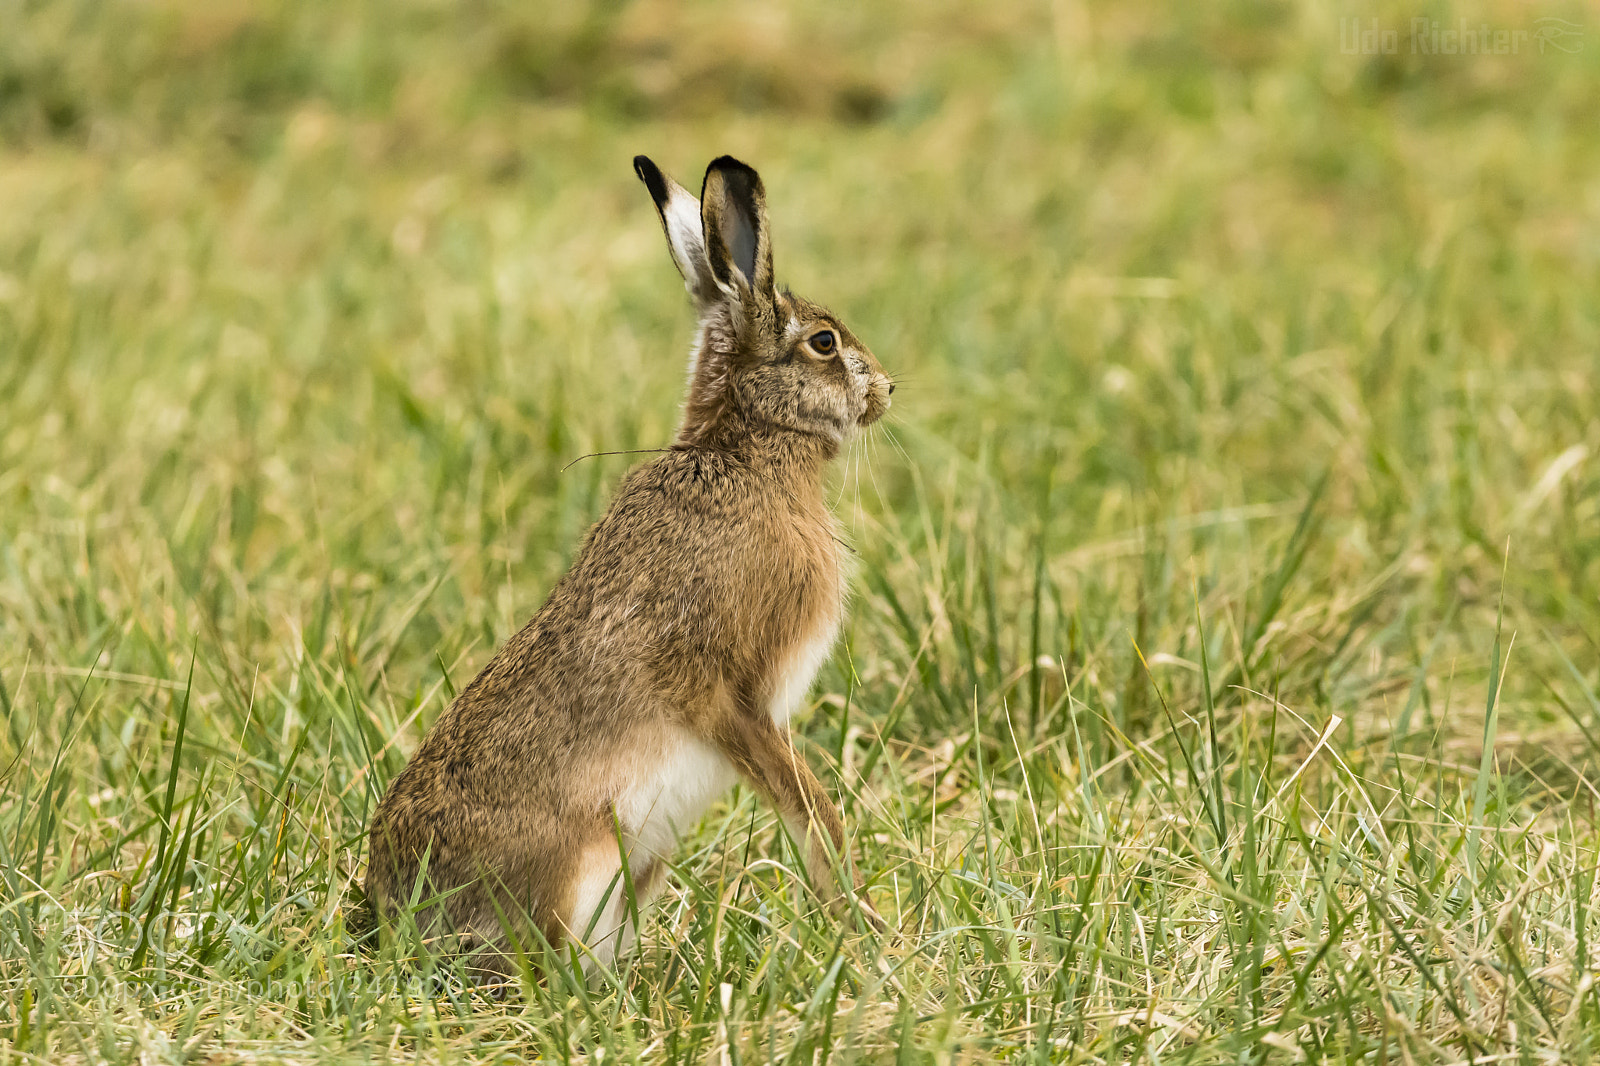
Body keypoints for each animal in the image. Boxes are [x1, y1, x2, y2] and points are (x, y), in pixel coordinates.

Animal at [364, 155, 894, 976]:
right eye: (824, 342)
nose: (886, 390)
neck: (744, 452)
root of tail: (398, 921)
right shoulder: (729, 688)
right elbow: (801, 799)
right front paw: (855, 918)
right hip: (579, 867)